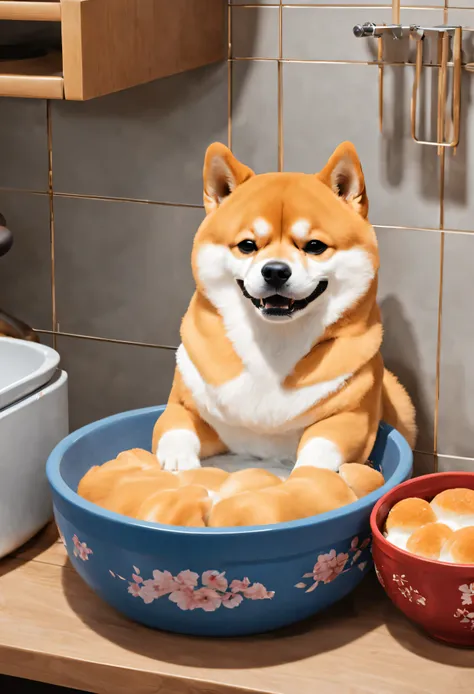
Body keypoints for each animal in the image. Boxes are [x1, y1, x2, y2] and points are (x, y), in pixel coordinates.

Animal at [153, 143, 414, 476]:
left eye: (314, 246)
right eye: (247, 245)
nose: (275, 271)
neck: (273, 345)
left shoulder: (352, 417)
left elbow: (321, 447)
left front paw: (307, 475)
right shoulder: (185, 404)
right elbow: (175, 426)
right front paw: (178, 463)